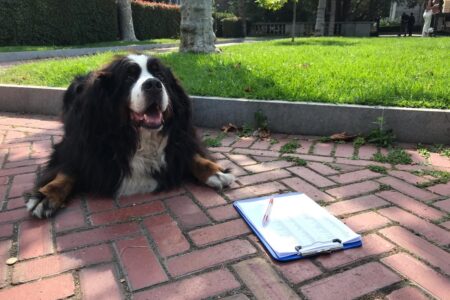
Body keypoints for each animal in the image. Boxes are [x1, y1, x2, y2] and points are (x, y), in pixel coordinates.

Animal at [24, 54, 236, 218]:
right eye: (128, 77)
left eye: (160, 75)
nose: (153, 85)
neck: (138, 136)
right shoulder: (77, 145)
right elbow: (67, 170)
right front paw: (46, 195)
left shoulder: (181, 137)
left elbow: (191, 155)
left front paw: (215, 171)